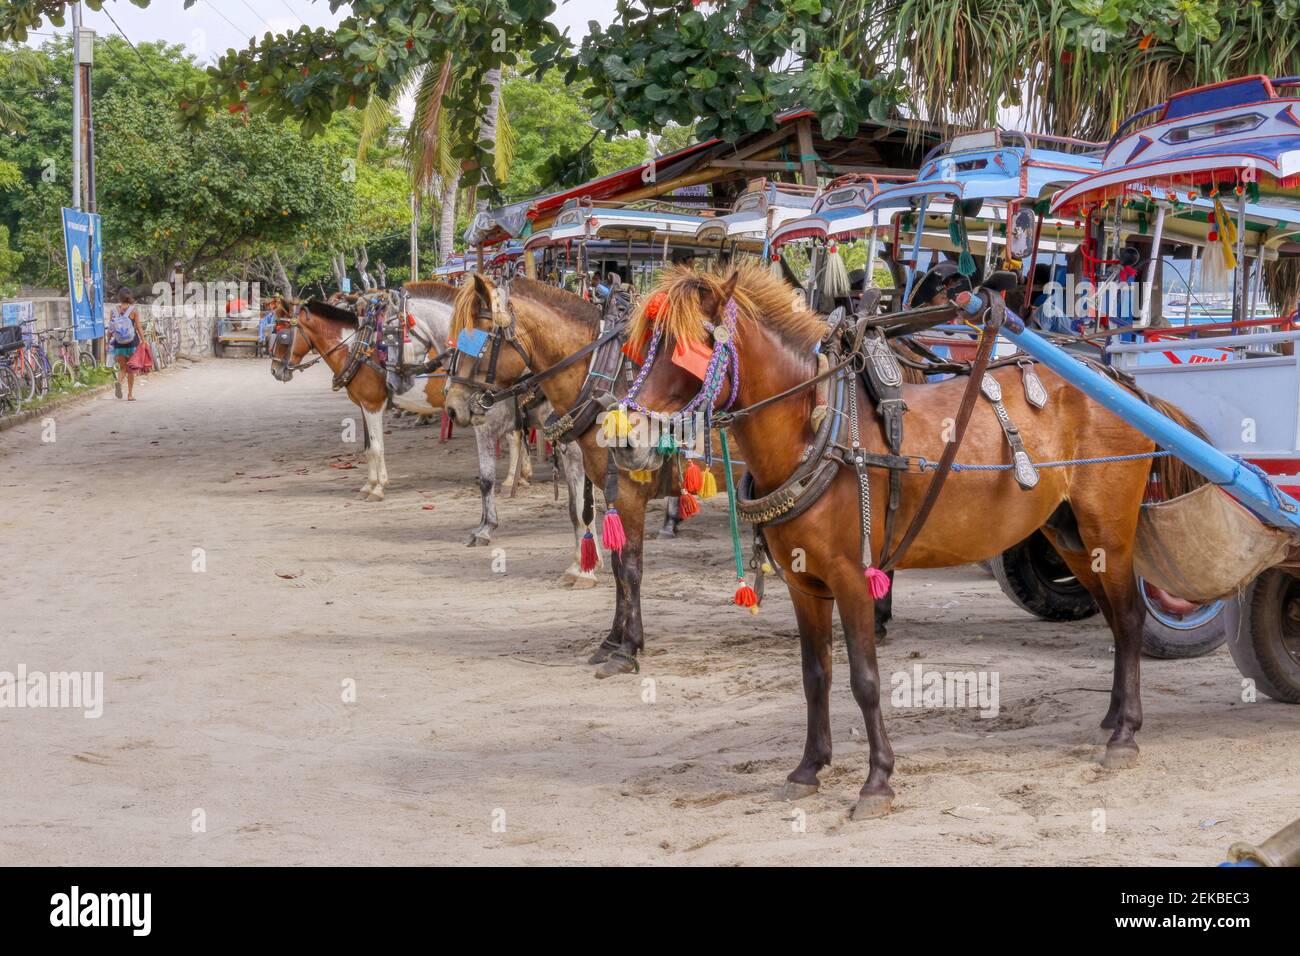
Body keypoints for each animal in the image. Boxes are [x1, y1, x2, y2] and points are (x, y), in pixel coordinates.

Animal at [613, 265, 1201, 816]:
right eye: (639, 347)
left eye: (691, 348)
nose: (623, 441)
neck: (818, 433)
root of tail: (1119, 382)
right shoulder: (805, 585)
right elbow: (815, 676)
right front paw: (809, 769)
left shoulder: (853, 577)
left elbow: (865, 679)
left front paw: (877, 780)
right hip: (1069, 535)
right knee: (1113, 617)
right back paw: (1112, 716)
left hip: (1109, 530)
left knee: (1129, 616)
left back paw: (1125, 732)